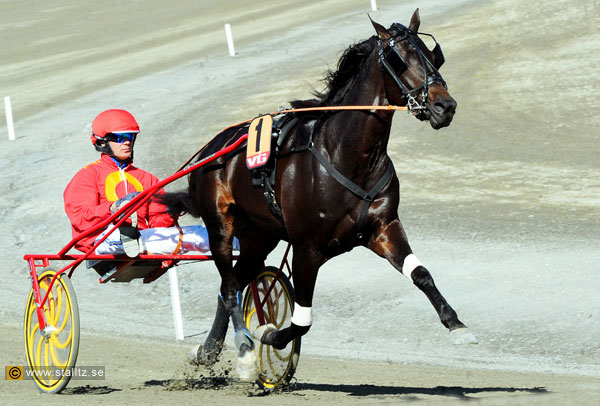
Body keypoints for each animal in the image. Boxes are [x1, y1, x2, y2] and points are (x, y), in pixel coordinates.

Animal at [166, 7, 476, 380]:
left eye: (433, 56)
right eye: (399, 59)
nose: (445, 106)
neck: (347, 155)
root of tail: (213, 148)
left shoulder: (383, 228)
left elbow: (421, 273)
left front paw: (456, 324)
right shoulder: (306, 247)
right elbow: (301, 321)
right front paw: (269, 335)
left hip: (260, 236)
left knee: (235, 284)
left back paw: (209, 350)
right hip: (221, 228)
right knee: (228, 288)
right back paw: (242, 350)